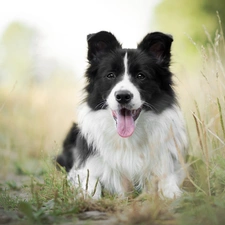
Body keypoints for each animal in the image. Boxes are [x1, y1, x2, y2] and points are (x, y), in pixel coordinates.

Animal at [56, 30, 188, 199]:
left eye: (141, 76)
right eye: (110, 75)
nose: (123, 96)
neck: (128, 140)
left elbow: (168, 181)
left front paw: (171, 192)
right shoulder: (84, 168)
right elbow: (91, 184)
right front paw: (88, 196)